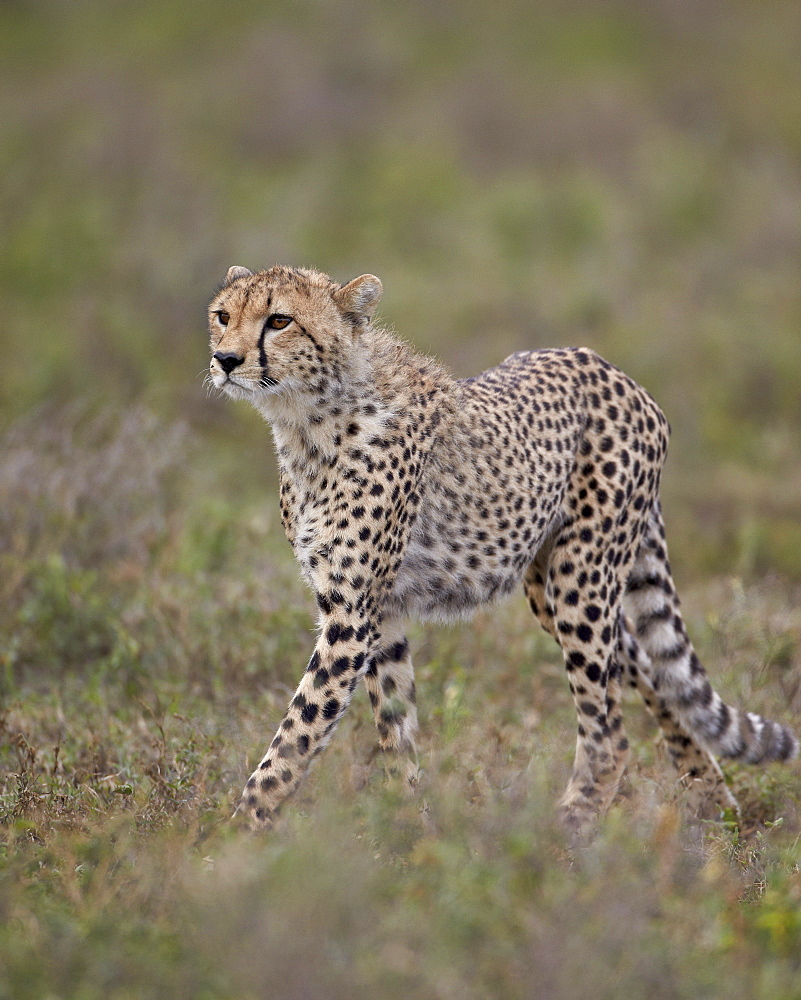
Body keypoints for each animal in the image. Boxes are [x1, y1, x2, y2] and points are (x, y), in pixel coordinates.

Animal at [206, 264, 792, 828]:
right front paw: (409, 829)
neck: (306, 423)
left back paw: (568, 829)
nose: (225, 359)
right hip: (551, 586)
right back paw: (715, 802)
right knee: (648, 670)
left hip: (580, 580)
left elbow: (296, 735)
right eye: (222, 316)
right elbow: (396, 730)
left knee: (609, 733)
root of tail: (606, 366)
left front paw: (234, 836)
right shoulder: (379, 612)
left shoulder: (350, 616)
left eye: (279, 320)